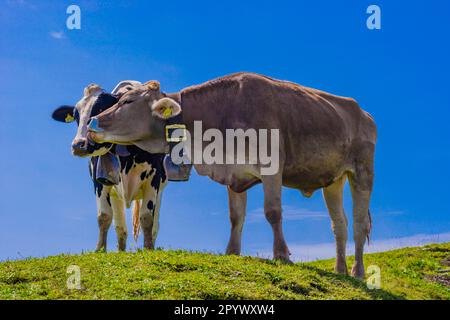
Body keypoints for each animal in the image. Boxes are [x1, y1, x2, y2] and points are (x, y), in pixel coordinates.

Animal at [51, 81, 167, 251]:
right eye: (76, 115)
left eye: (100, 109)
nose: (78, 145)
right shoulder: (99, 180)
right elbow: (104, 217)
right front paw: (99, 250)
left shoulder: (154, 177)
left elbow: (146, 217)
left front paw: (148, 249)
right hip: (115, 192)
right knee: (121, 228)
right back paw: (120, 251)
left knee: (154, 225)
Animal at [87, 73, 376, 278]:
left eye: (128, 101)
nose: (91, 123)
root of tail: (363, 112)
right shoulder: (232, 174)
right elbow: (235, 216)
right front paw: (232, 252)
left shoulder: (273, 166)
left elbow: (272, 212)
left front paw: (281, 255)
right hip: (333, 180)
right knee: (340, 225)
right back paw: (340, 270)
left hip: (362, 172)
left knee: (359, 224)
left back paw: (358, 273)